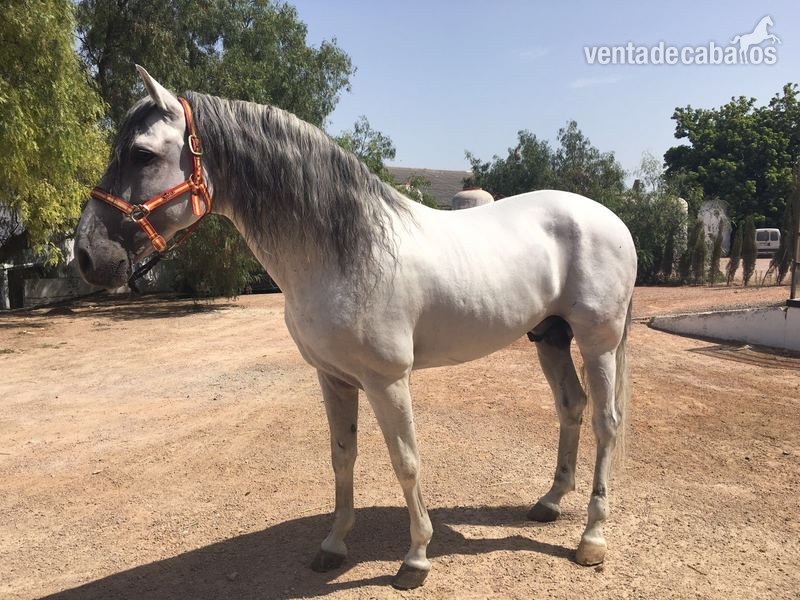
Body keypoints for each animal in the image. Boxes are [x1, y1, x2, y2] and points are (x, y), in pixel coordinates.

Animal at [75, 66, 637, 590]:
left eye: (143, 154)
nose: (86, 256)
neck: (346, 250)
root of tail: (610, 218)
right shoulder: (333, 378)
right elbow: (342, 457)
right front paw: (333, 546)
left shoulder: (387, 380)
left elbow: (406, 461)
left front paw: (415, 559)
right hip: (550, 338)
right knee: (571, 407)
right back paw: (549, 502)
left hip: (598, 342)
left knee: (606, 422)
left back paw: (591, 539)